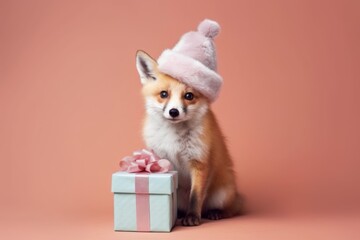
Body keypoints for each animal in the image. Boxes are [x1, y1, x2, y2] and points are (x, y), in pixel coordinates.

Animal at [136, 49, 243, 226]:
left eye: (189, 96)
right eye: (164, 94)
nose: (173, 112)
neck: (174, 138)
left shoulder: (200, 162)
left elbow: (196, 196)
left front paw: (192, 217)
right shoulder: (163, 159)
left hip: (221, 194)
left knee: (230, 210)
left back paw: (215, 213)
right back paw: (179, 214)